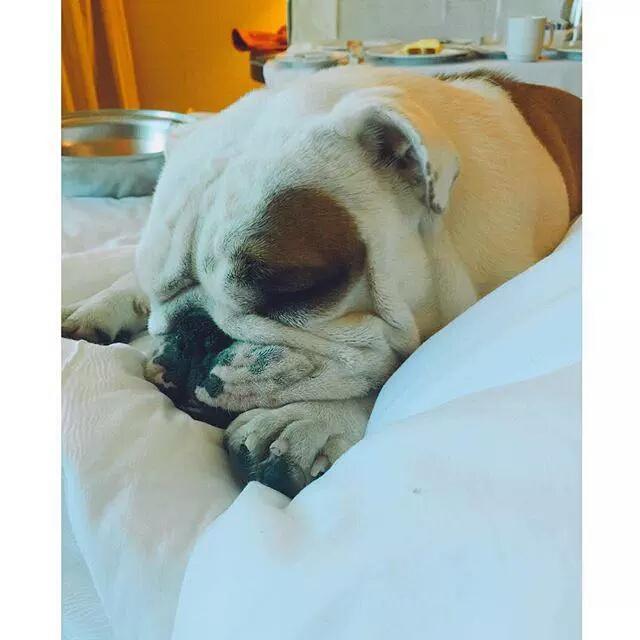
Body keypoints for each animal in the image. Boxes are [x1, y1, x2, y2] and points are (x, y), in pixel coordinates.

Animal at [62, 66, 581, 497]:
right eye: (158, 290)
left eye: (293, 289)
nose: (193, 336)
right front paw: (103, 304)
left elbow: (391, 374)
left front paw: (307, 420)